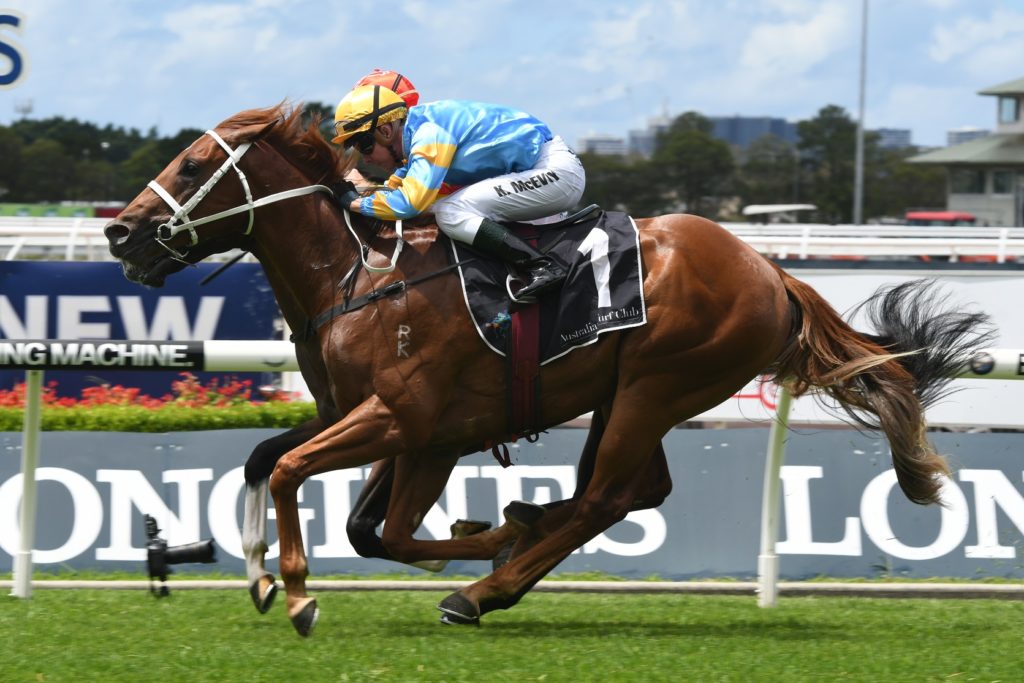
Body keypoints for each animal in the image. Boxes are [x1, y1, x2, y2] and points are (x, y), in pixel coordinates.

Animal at [104, 105, 991, 636]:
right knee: (634, 488)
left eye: (191, 166)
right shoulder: (400, 428)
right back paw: (514, 545)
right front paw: (259, 573)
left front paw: (296, 589)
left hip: (657, 384)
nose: (119, 233)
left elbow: (302, 478)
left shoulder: (404, 418)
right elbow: (310, 489)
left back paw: (484, 586)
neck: (358, 273)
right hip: (624, 390)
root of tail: (770, 272)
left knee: (608, 494)